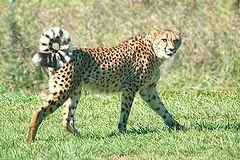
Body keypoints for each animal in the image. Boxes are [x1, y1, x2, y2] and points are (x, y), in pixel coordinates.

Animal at [27, 26, 182, 141]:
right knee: (39, 111)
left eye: (176, 40)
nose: (171, 49)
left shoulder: (148, 90)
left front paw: (176, 125)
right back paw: (30, 140)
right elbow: (125, 112)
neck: (154, 51)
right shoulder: (130, 88)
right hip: (62, 90)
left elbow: (161, 108)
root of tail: (58, 52)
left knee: (66, 119)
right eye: (164, 39)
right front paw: (122, 131)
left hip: (74, 91)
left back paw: (80, 136)